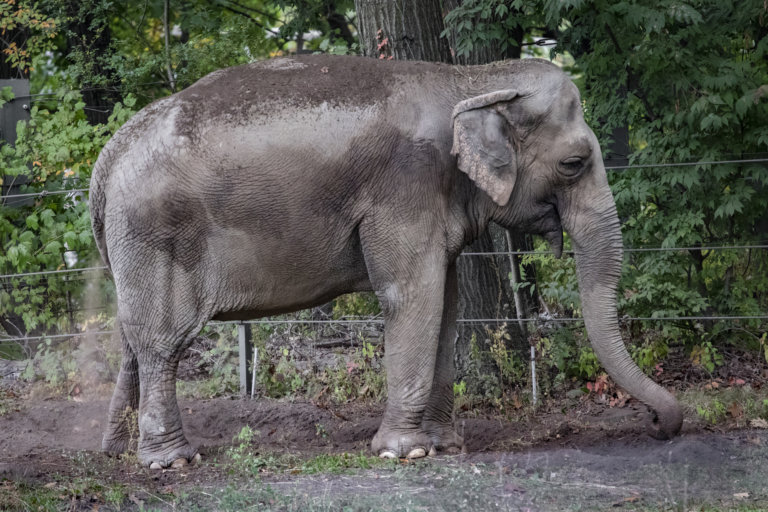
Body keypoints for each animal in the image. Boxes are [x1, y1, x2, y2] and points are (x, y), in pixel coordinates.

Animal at [90, 55, 684, 468]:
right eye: (574, 163)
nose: (661, 423)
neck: (470, 81)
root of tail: (107, 159)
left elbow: (446, 303)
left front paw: (444, 445)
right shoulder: (405, 187)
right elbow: (412, 294)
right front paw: (405, 452)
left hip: (132, 243)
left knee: (131, 337)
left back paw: (114, 450)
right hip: (156, 232)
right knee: (162, 341)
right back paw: (170, 461)